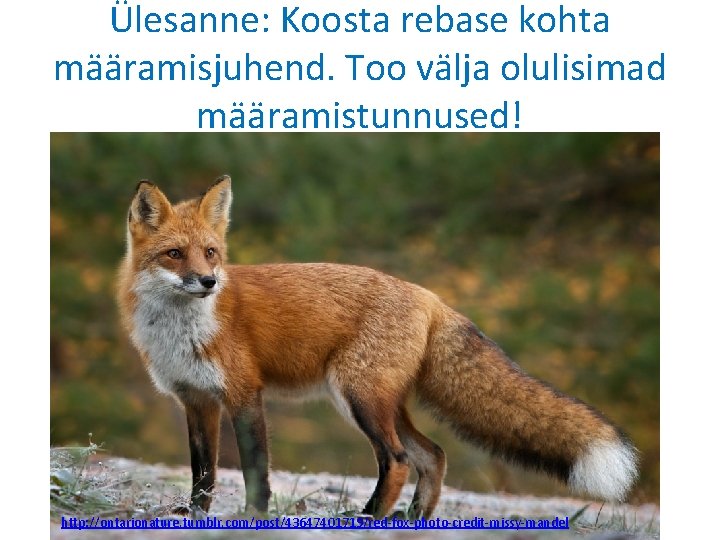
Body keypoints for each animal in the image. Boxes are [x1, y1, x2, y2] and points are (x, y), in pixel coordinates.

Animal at [117, 176, 638, 518]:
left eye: (211, 253)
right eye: (174, 254)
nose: (208, 281)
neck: (181, 331)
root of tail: (429, 296)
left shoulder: (245, 393)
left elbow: (254, 469)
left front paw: (252, 518)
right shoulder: (196, 400)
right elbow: (202, 473)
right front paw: (193, 516)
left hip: (360, 399)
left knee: (400, 459)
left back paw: (368, 517)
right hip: (379, 402)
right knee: (434, 455)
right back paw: (412, 520)